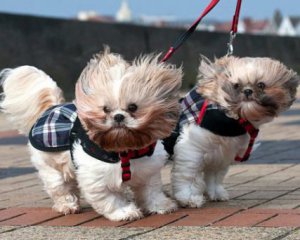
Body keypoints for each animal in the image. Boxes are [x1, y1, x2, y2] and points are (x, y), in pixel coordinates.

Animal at [0, 49, 183, 221]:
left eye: (133, 107)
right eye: (106, 109)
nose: (118, 116)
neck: (124, 150)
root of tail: (51, 108)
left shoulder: (148, 172)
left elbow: (150, 191)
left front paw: (161, 206)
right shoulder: (96, 179)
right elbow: (111, 199)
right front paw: (124, 212)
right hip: (50, 165)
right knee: (60, 187)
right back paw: (68, 205)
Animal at [171, 55, 300, 207]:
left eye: (261, 85)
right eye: (236, 85)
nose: (248, 91)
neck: (233, 120)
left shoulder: (221, 154)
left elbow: (215, 176)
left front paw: (216, 193)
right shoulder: (192, 148)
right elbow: (188, 175)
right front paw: (189, 197)